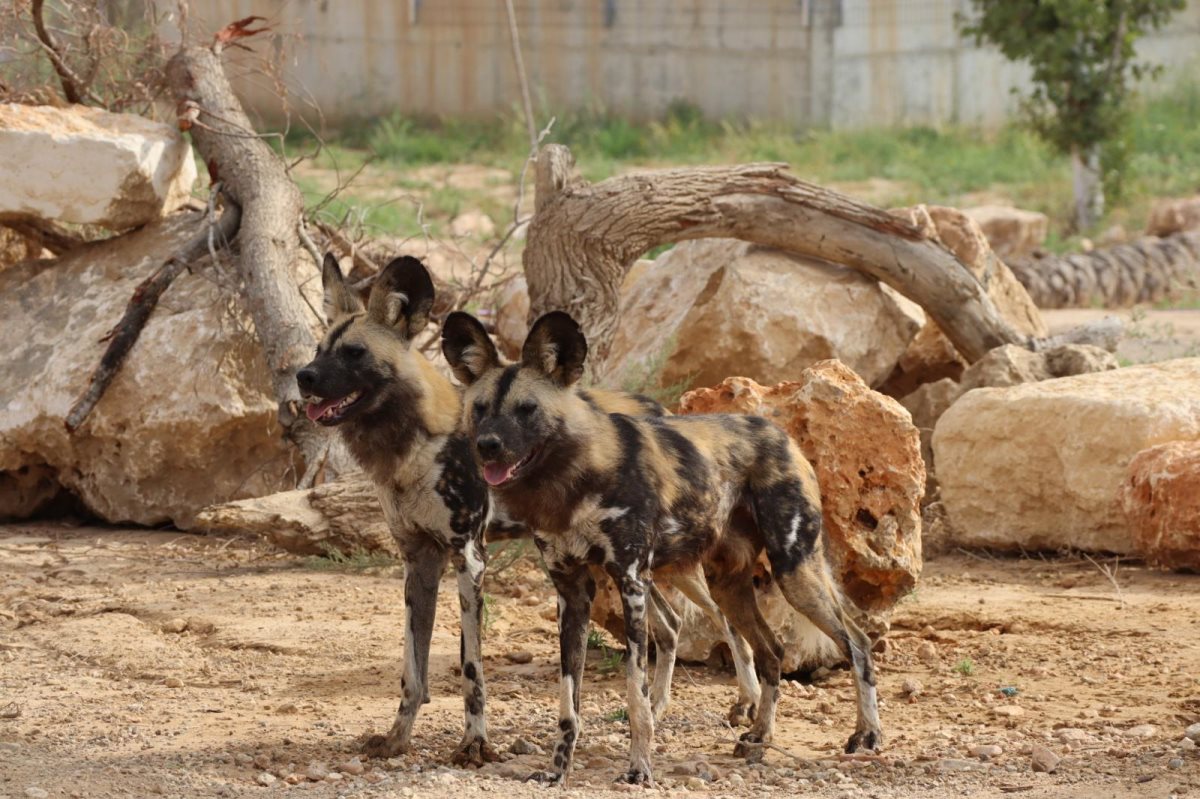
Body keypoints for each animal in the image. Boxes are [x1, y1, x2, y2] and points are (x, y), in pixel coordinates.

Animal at [297, 255, 499, 767]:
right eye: (318, 349)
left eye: (354, 353)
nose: (303, 377)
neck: (414, 449)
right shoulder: (419, 561)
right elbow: (414, 670)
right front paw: (397, 739)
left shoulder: (469, 559)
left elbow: (471, 672)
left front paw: (474, 744)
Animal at [441, 307, 883, 782]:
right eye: (480, 409)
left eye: (526, 410)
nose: (487, 446)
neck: (572, 482)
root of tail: (780, 433)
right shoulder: (572, 592)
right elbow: (568, 703)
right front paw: (557, 770)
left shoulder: (631, 582)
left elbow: (636, 695)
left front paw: (639, 768)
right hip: (729, 586)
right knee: (772, 651)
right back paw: (759, 737)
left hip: (793, 571)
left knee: (857, 643)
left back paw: (867, 735)